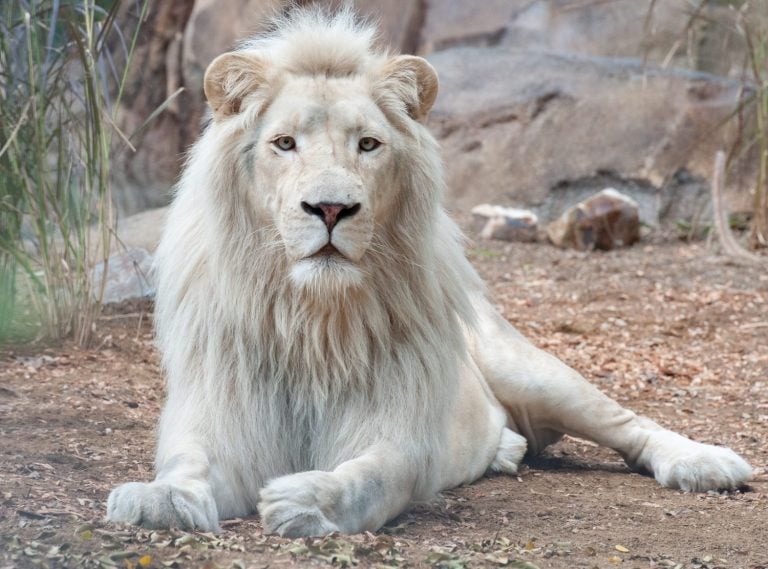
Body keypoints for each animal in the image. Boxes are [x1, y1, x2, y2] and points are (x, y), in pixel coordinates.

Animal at [107, 8, 752, 537]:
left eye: (368, 144)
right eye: (284, 143)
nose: (331, 209)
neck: (312, 317)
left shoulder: (400, 432)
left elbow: (371, 475)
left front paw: (307, 499)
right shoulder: (221, 415)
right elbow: (189, 463)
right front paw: (158, 501)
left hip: (532, 371)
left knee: (629, 423)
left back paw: (706, 463)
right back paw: (506, 450)